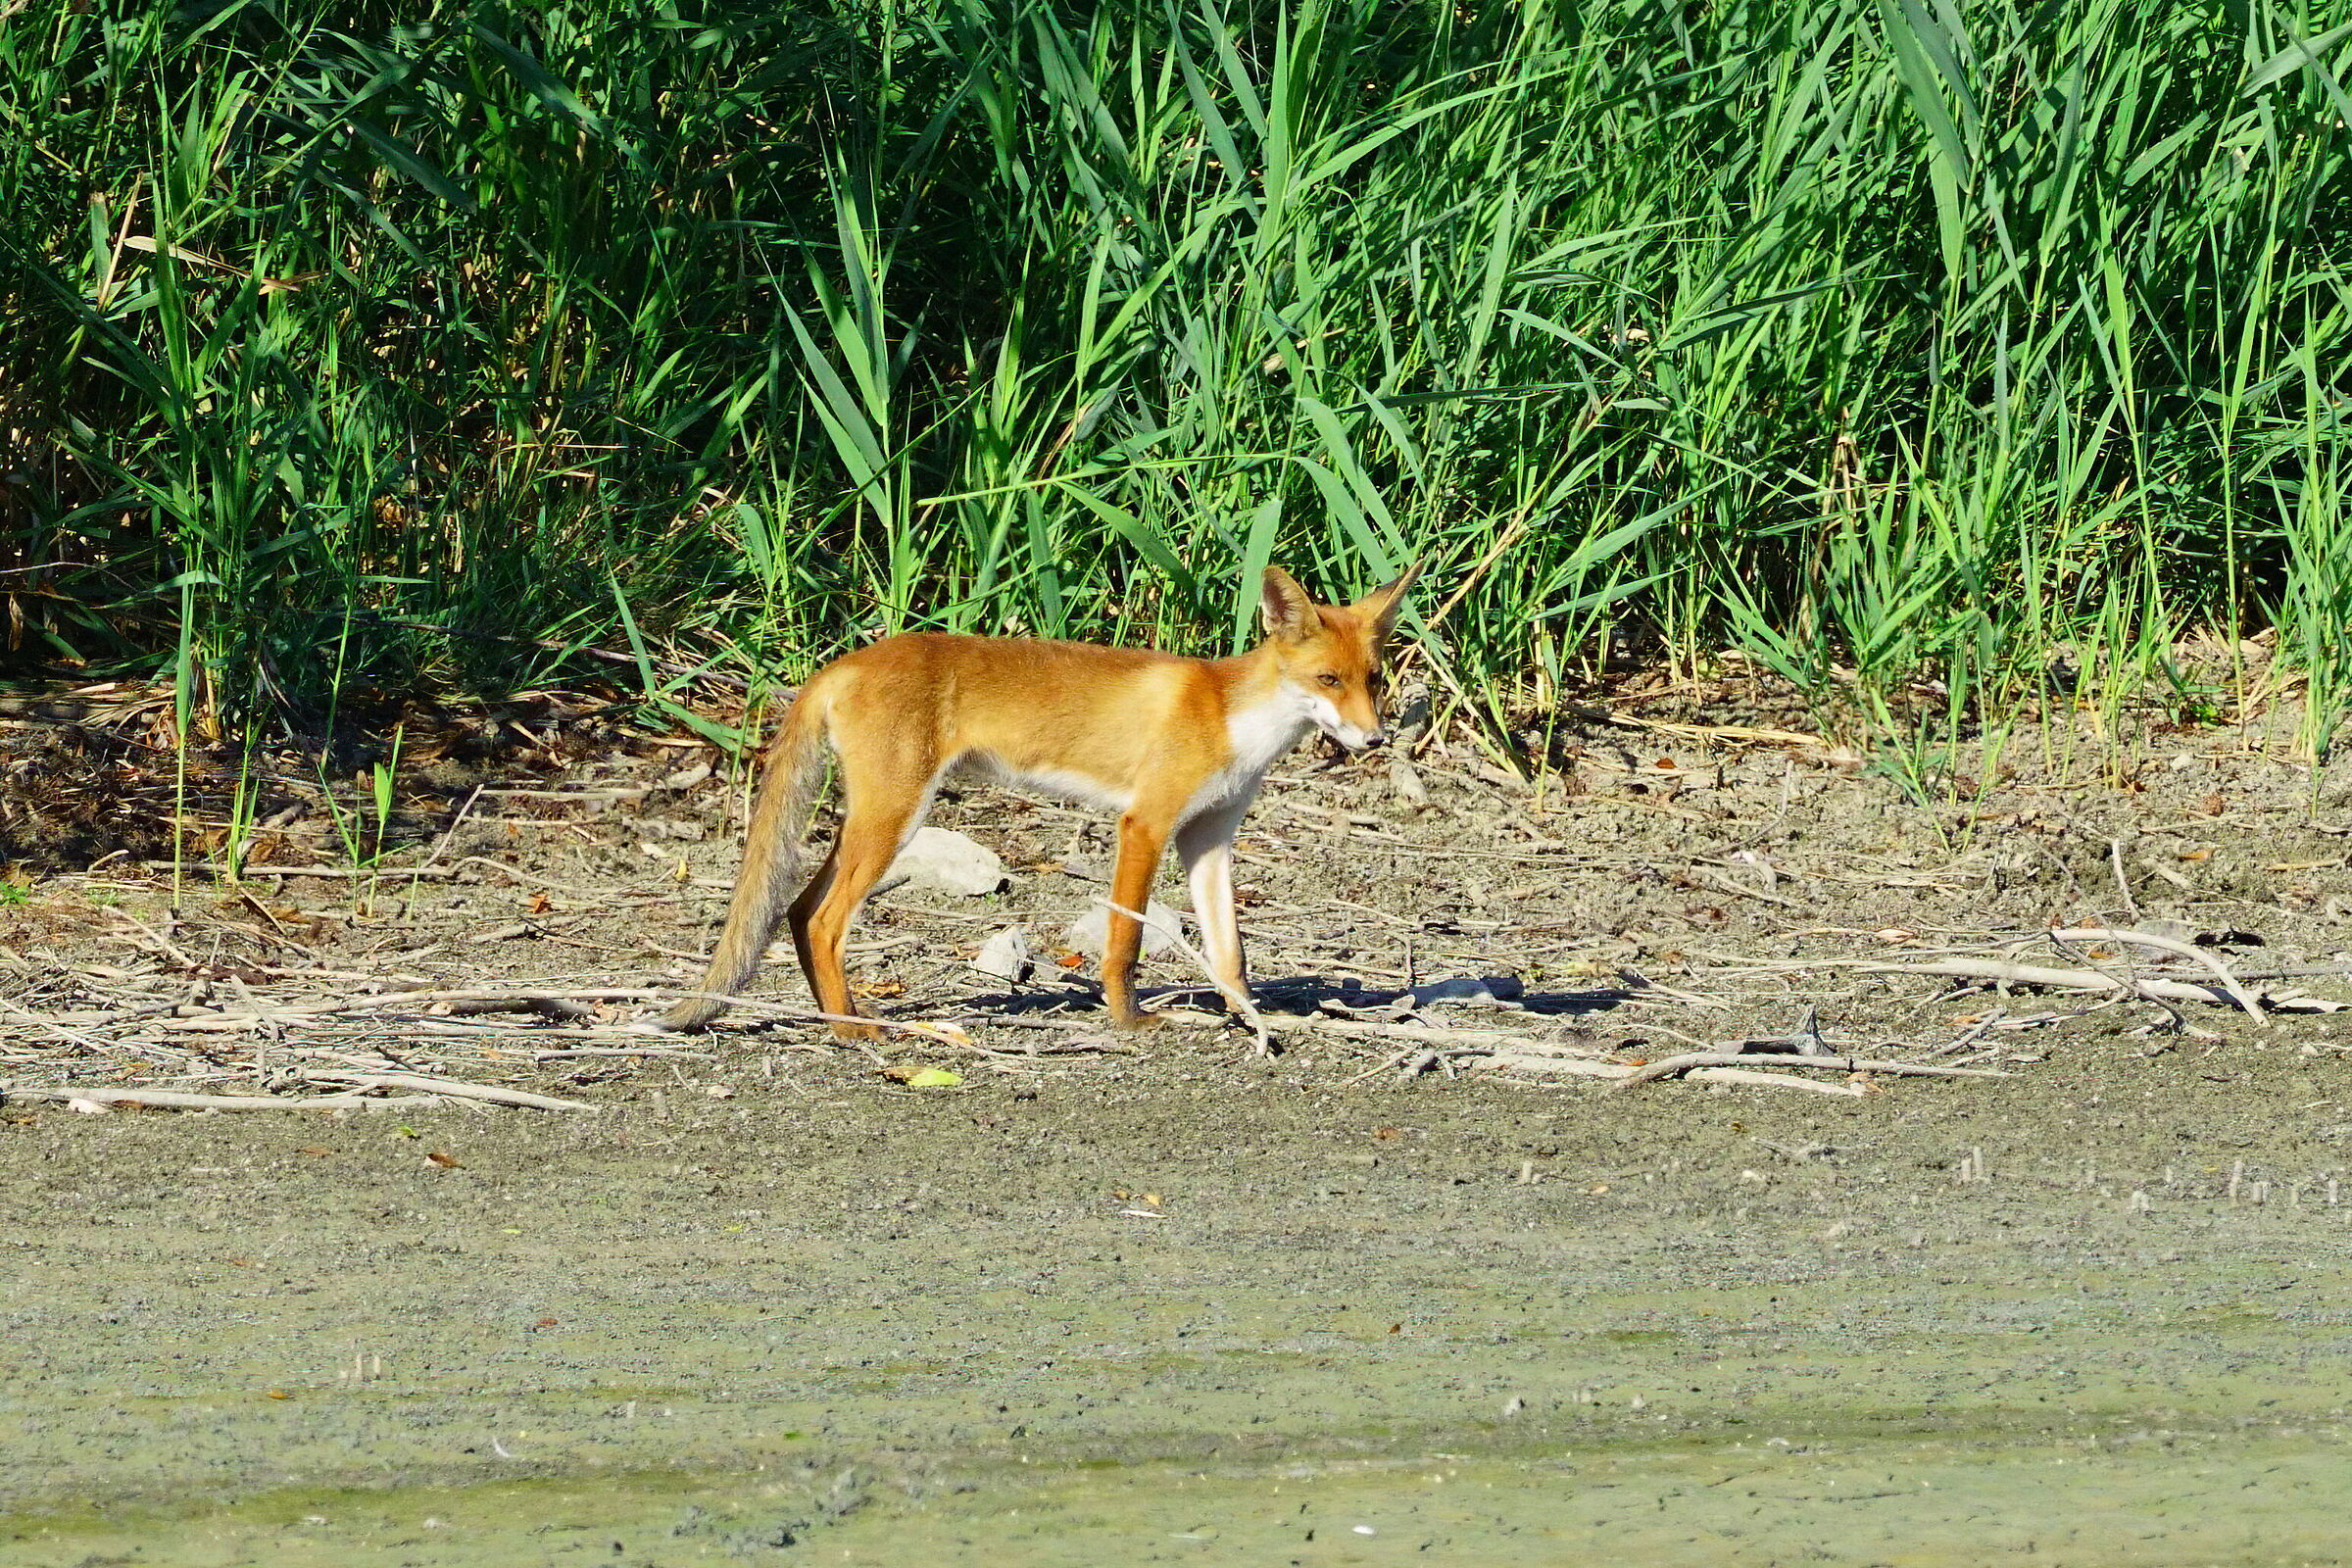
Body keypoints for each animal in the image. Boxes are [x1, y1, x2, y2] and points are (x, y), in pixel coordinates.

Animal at [661, 562, 1417, 1038]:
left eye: (1374, 680)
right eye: (1327, 679)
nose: (1376, 739)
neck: (1233, 719)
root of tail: (844, 660)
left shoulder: (1208, 836)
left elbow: (1231, 952)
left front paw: (1253, 1020)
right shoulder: (1146, 823)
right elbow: (1125, 941)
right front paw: (1130, 1021)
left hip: (873, 822)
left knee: (794, 910)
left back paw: (831, 1016)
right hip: (895, 819)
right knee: (821, 922)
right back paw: (853, 1031)